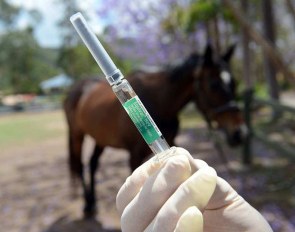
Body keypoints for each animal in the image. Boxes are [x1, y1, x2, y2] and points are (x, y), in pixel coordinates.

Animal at [64, 44, 247, 216]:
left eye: (234, 83)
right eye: (213, 84)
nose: (240, 132)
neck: (160, 101)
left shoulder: (170, 141)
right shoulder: (134, 155)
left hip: (100, 138)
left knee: (93, 163)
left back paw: (93, 202)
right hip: (76, 134)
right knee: (80, 165)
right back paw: (87, 205)